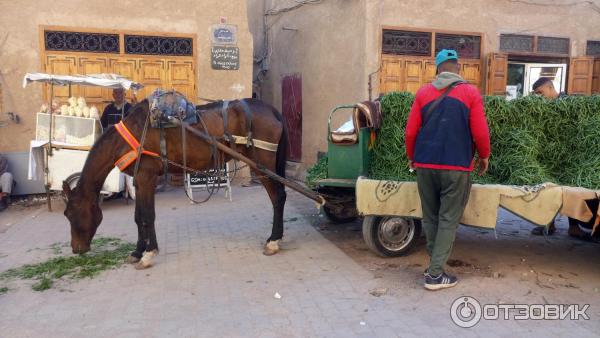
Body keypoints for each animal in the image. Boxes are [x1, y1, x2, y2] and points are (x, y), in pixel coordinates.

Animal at [63, 98, 288, 270]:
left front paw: (148, 253)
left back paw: (273, 240)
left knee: (278, 197)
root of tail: (271, 109)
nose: (76, 248)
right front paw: (137, 251)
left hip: (262, 164)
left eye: (71, 213)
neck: (132, 135)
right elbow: (138, 217)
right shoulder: (138, 180)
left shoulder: (147, 177)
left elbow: (148, 216)